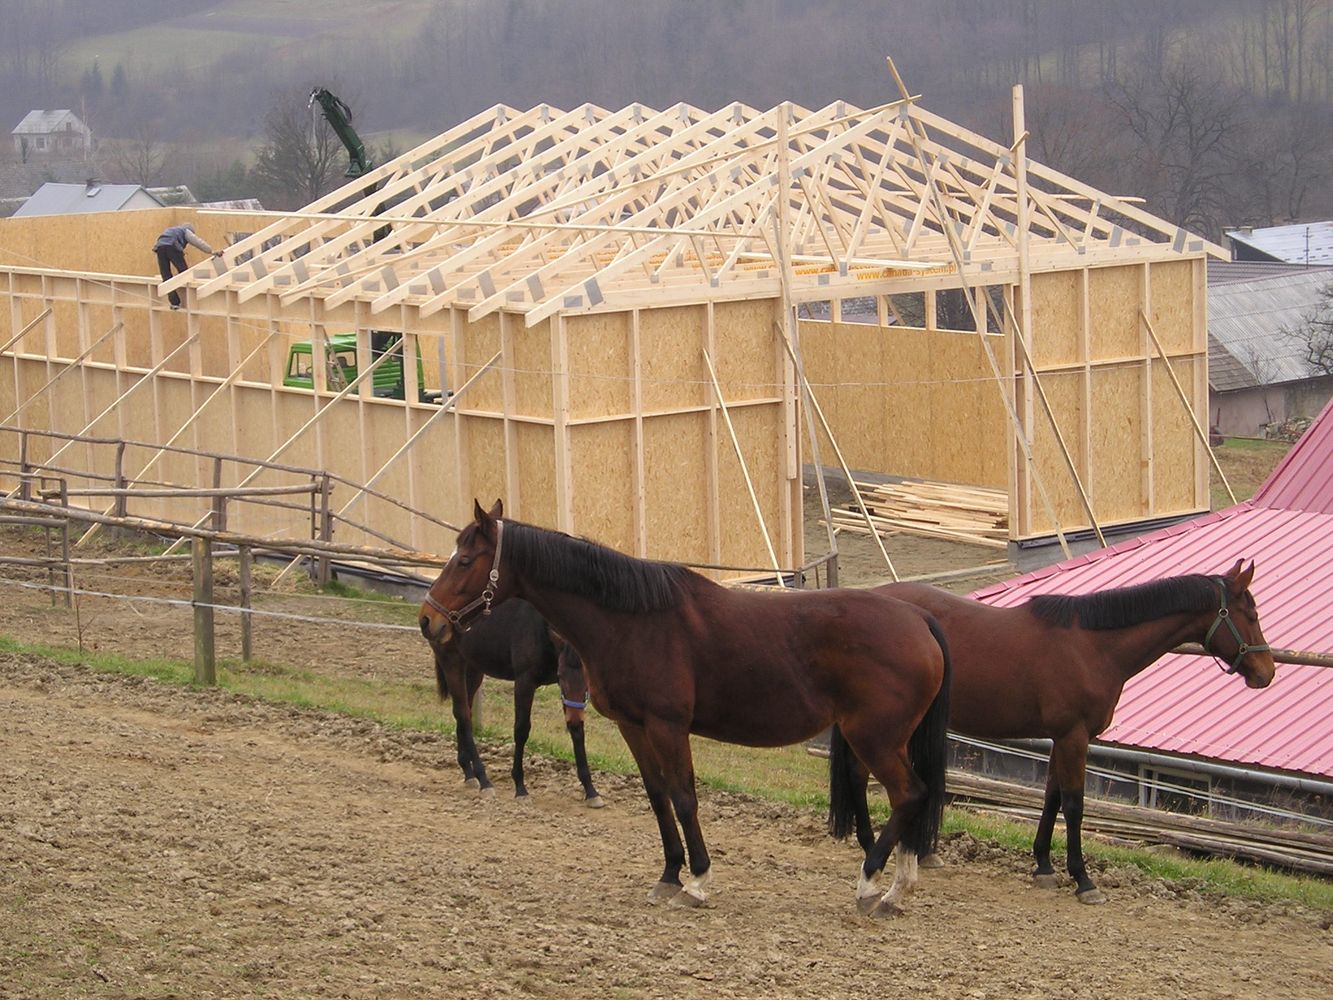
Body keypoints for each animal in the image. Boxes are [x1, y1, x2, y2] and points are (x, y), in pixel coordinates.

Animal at [426, 600, 605, 810]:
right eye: (560, 675)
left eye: (587, 680)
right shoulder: (524, 682)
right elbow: (521, 730)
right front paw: (520, 787)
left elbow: (576, 731)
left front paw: (591, 790)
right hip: (451, 661)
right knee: (463, 714)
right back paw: (483, 779)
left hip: (472, 668)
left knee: (463, 712)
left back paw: (468, 772)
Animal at [826, 565, 1274, 906]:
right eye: (1250, 614)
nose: (1266, 672)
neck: (1094, 647)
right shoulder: (1075, 737)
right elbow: (1074, 805)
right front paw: (1083, 880)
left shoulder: (1063, 738)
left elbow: (1052, 798)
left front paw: (1043, 865)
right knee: (864, 777)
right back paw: (872, 851)